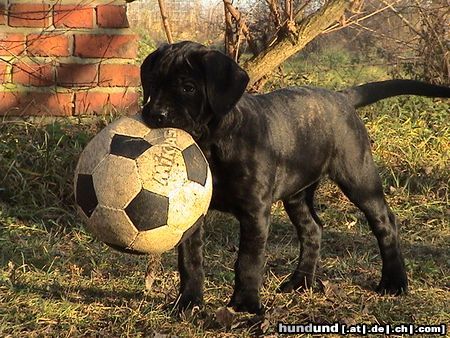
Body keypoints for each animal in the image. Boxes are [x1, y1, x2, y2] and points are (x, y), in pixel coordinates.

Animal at [141, 41, 450, 312]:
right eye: (153, 83)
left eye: (188, 87)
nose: (155, 114)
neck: (212, 143)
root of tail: (342, 97)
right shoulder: (190, 214)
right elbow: (190, 259)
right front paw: (188, 302)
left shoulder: (255, 212)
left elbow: (248, 261)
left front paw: (245, 305)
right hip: (297, 193)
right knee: (313, 229)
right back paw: (301, 282)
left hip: (359, 179)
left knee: (385, 223)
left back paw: (394, 282)